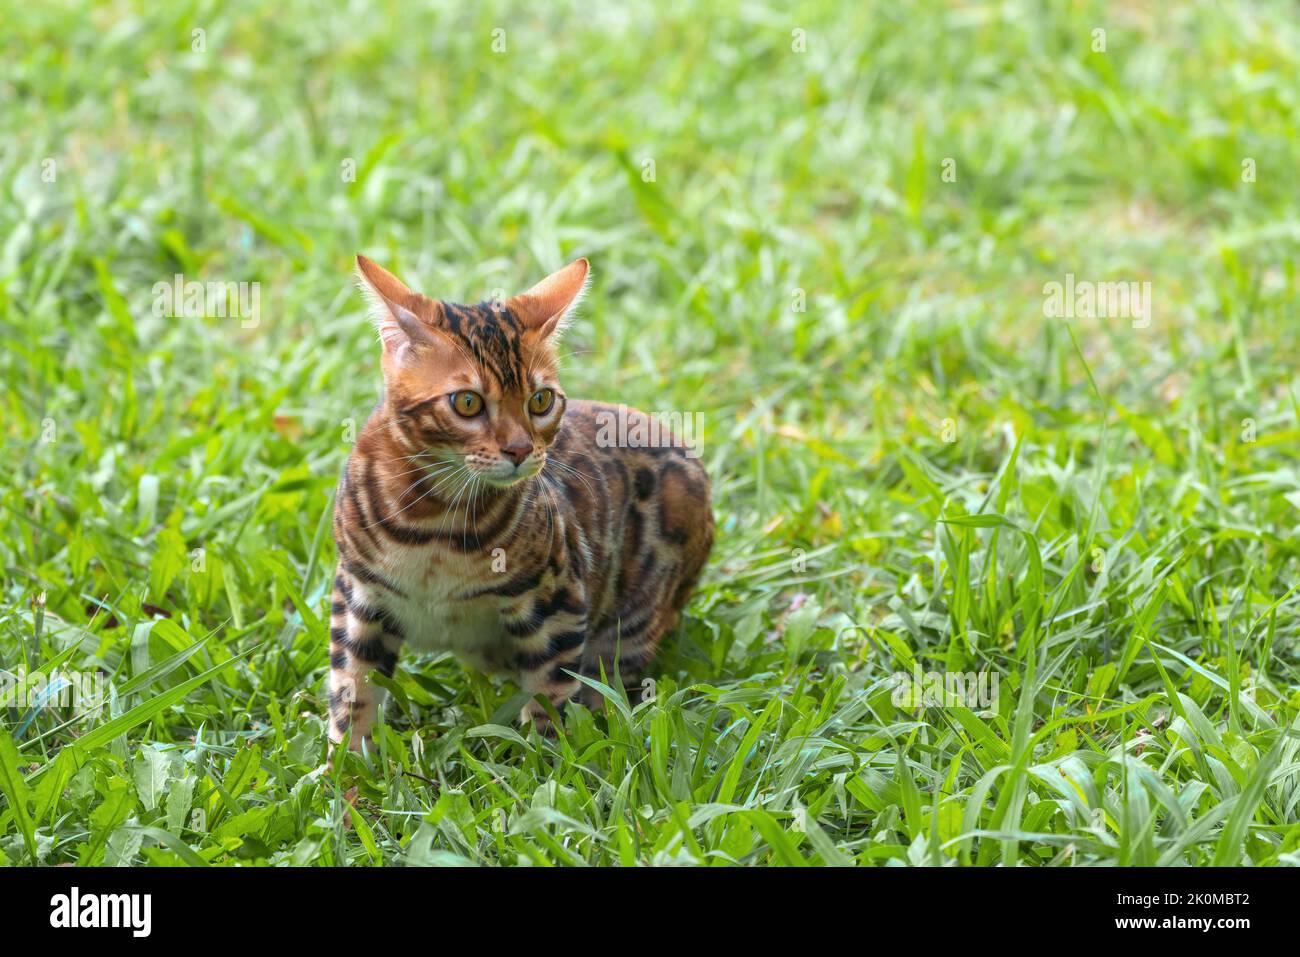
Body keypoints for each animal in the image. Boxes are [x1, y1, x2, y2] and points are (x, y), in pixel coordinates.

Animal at [325, 257, 712, 748]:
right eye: (467, 402)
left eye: (541, 400)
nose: (520, 449)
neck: (433, 523)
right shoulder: (358, 594)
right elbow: (351, 692)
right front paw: (345, 763)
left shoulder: (556, 600)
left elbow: (550, 701)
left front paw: (543, 760)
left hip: (633, 622)